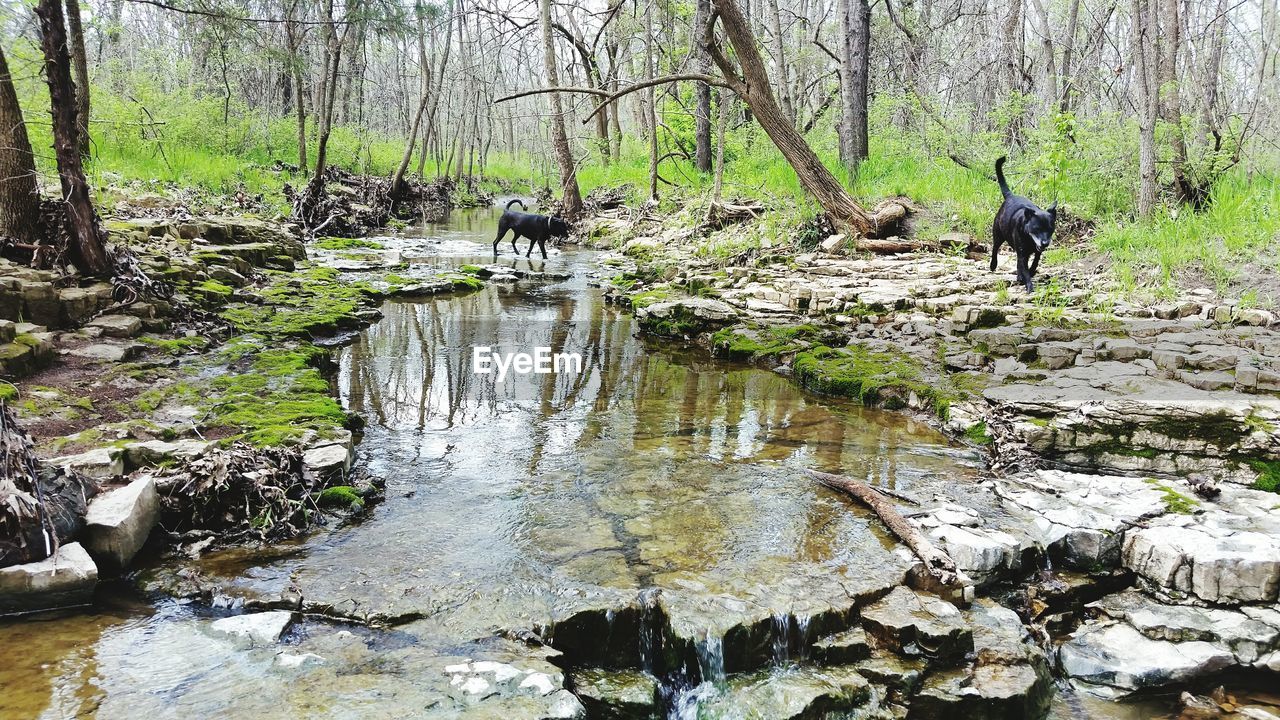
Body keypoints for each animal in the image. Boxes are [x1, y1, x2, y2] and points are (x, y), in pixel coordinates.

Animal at [988, 156, 1059, 292]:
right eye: (1037, 229)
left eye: (1050, 229)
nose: (1045, 243)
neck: (1029, 238)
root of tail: (1010, 196)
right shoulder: (1022, 253)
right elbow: (1024, 268)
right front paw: (1029, 286)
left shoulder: (1035, 251)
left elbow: (1035, 262)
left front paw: (1031, 272)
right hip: (998, 234)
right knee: (995, 248)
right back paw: (993, 265)